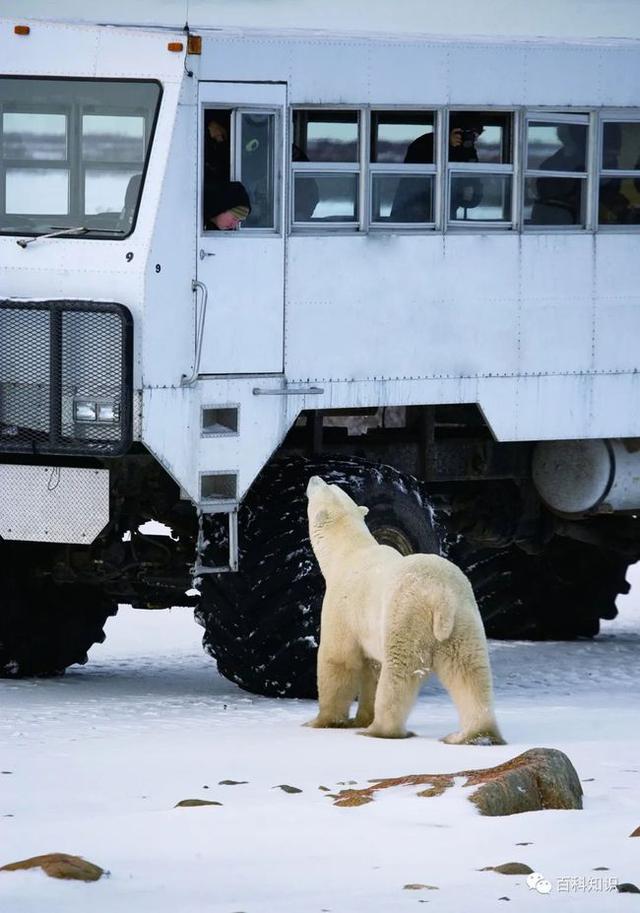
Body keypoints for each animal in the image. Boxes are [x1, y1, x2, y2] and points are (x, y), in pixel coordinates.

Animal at [304, 474, 504, 744]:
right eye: (333, 486)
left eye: (325, 487)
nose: (314, 477)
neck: (349, 552)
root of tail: (441, 595)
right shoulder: (370, 628)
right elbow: (372, 667)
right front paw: (362, 717)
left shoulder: (342, 607)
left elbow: (338, 660)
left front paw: (322, 721)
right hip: (464, 620)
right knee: (470, 673)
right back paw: (475, 735)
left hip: (407, 616)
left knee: (399, 675)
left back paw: (378, 730)